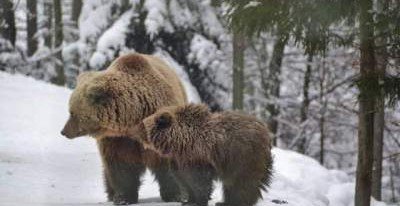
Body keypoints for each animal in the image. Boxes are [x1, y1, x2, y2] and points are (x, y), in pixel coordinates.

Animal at [60, 52, 188, 204]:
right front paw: (123, 198)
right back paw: (111, 194)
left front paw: (176, 195)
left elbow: (167, 163)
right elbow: (121, 166)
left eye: (71, 112)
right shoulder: (118, 139)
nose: (63, 131)